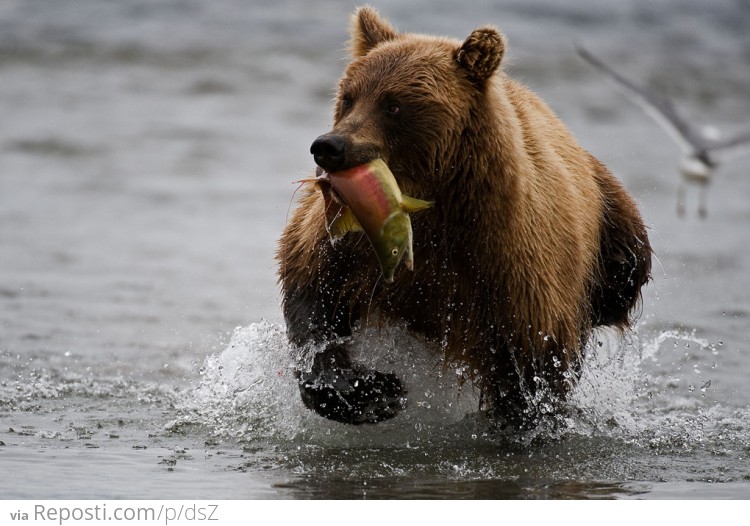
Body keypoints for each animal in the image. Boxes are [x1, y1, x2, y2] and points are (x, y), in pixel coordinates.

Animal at [276, 6, 652, 428]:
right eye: (348, 96)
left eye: (394, 104)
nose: (330, 146)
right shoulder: (351, 240)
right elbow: (314, 296)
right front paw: (372, 391)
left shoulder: (516, 266)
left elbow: (533, 367)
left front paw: (523, 416)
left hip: (612, 221)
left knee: (626, 274)